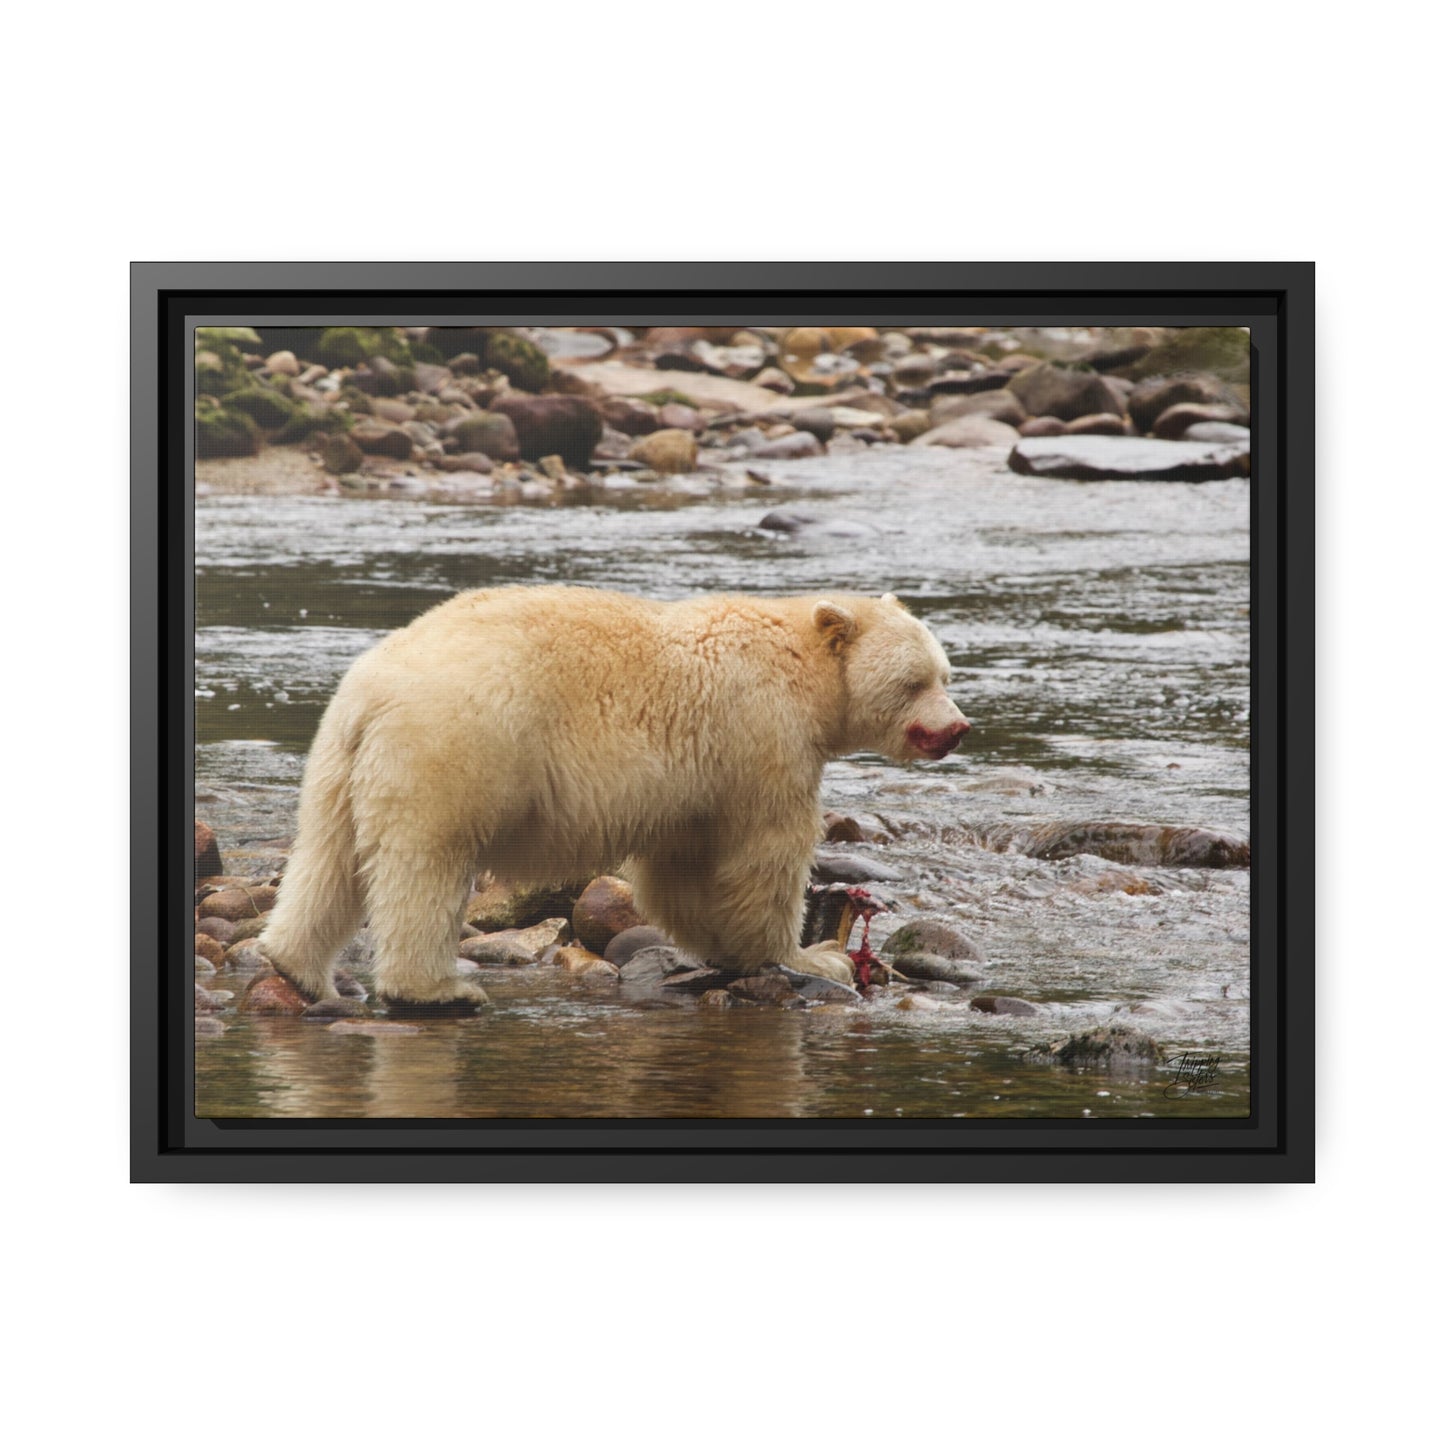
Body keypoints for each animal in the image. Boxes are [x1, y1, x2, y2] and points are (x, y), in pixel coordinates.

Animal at [258, 586, 969, 1010]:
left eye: (945, 673)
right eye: (914, 682)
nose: (958, 727)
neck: (804, 669)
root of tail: (372, 688)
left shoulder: (696, 780)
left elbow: (682, 868)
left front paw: (721, 945)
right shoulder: (762, 736)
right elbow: (763, 853)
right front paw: (812, 957)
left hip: (342, 762)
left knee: (329, 858)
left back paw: (295, 966)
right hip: (455, 746)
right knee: (425, 863)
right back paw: (437, 989)